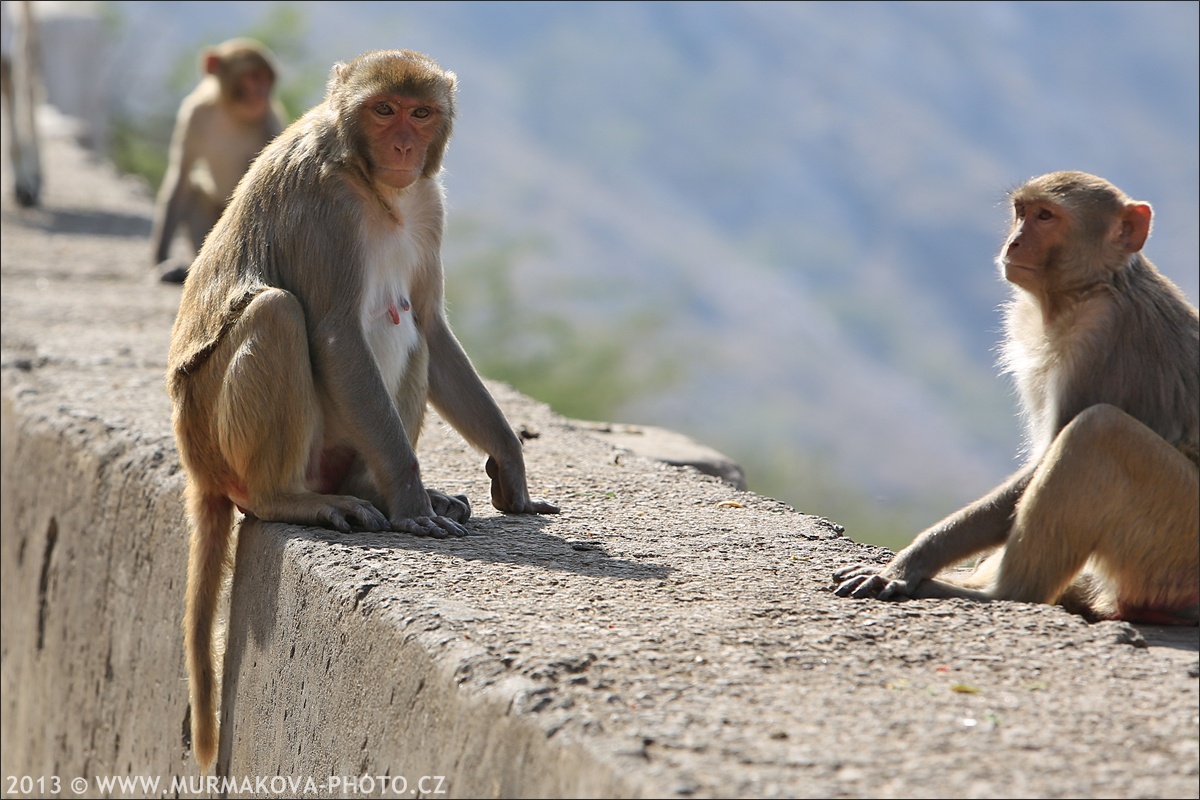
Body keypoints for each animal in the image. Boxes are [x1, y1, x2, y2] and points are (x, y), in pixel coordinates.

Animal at [150, 39, 285, 284]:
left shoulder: (269, 120)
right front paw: (160, 259)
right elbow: (181, 176)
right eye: (253, 77)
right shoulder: (193, 114)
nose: (262, 94)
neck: (229, 111)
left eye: (267, 80)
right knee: (194, 189)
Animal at [835, 172, 1200, 628]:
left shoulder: (1100, 334)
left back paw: (999, 594)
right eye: (1022, 212)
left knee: (1098, 430)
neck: (1092, 286)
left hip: (1176, 540)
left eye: (1046, 216)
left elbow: (1044, 460)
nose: (1013, 244)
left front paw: (908, 565)